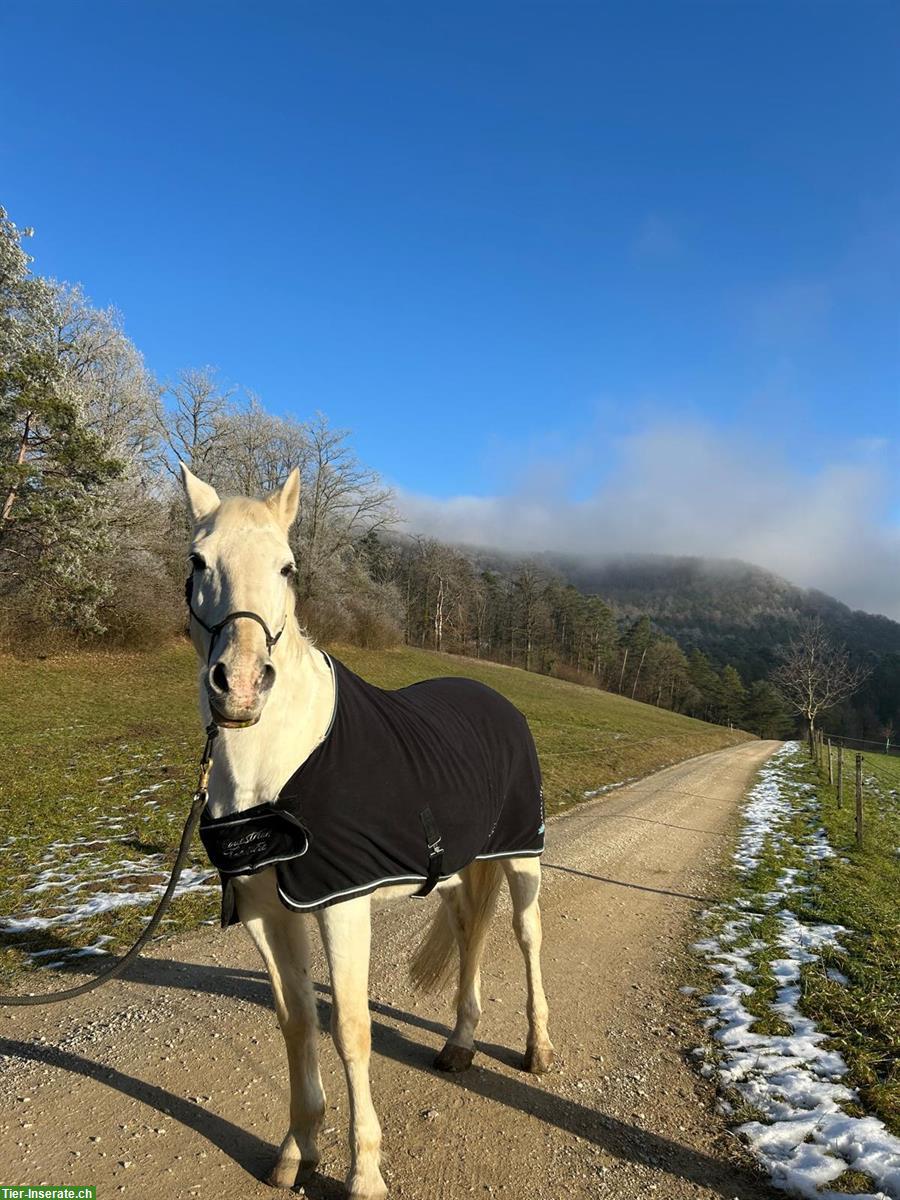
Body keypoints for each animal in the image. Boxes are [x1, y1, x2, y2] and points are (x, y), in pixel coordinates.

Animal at [180, 465, 554, 1200]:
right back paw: (460, 1044)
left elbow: (351, 1029)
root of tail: (497, 700)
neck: (279, 763)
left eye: (288, 567)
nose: (240, 686)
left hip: (522, 855)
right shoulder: (268, 908)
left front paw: (365, 1174)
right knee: (470, 933)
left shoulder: (342, 905)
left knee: (525, 937)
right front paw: (297, 1152)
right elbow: (297, 1022)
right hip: (456, 872)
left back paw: (538, 1049)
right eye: (198, 561)